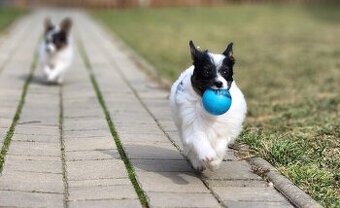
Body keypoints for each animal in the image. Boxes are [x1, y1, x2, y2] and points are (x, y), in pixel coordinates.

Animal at [170, 40, 247, 171]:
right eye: (206, 72)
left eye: (225, 72)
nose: (219, 83)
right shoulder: (192, 123)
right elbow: (198, 138)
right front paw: (207, 156)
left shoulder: (225, 128)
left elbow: (220, 144)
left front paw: (215, 162)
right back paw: (197, 163)